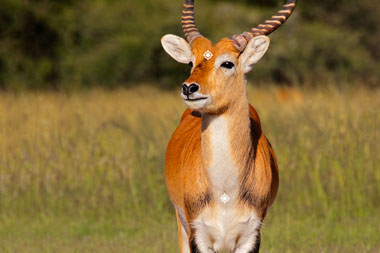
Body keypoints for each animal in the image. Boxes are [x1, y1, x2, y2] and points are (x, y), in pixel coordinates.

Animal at [160, 0, 296, 252]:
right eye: (191, 62)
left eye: (227, 63)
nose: (189, 88)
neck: (225, 193)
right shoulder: (198, 234)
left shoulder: (251, 236)